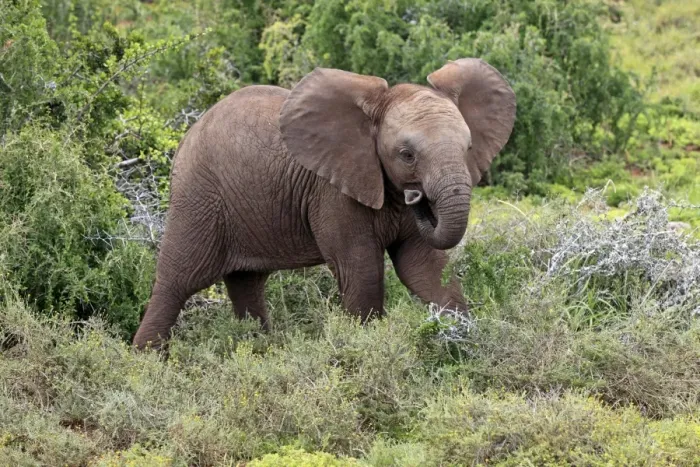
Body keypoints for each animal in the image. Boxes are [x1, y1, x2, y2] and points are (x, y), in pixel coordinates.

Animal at [132, 58, 516, 350]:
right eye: (406, 155)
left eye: (468, 148)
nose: (417, 197)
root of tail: (188, 132)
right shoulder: (332, 192)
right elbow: (361, 270)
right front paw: (366, 346)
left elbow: (425, 268)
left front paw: (463, 339)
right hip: (197, 195)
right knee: (178, 280)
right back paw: (146, 363)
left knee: (246, 282)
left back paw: (258, 352)